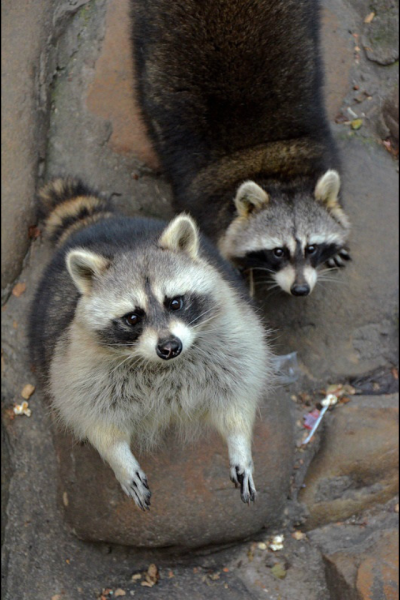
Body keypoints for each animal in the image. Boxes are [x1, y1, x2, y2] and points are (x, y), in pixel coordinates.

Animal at [28, 177, 272, 506]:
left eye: (175, 302)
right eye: (133, 318)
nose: (170, 348)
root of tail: (101, 222)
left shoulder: (232, 333)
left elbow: (236, 395)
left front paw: (239, 442)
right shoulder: (78, 363)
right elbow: (95, 418)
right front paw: (118, 458)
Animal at [130, 0, 350, 296]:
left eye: (312, 248)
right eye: (278, 252)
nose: (300, 289)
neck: (271, 164)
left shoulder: (321, 147)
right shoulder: (199, 196)